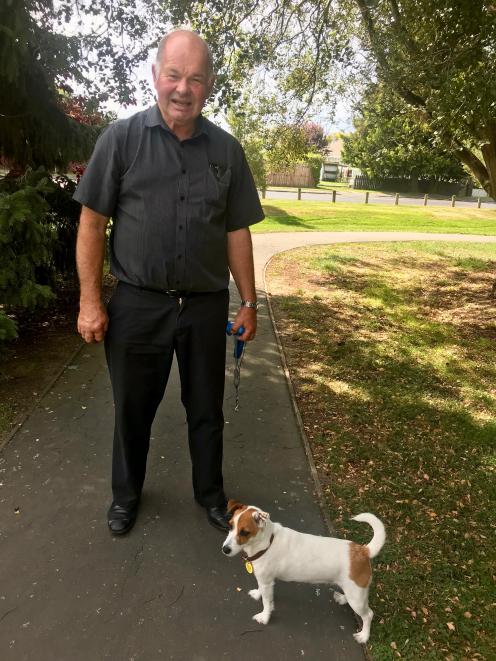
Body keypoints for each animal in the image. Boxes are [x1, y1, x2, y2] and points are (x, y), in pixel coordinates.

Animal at [222, 498, 388, 640]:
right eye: (230, 526)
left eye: (244, 532)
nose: (225, 549)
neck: (267, 542)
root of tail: (363, 550)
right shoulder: (263, 580)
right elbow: (261, 590)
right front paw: (258, 594)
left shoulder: (267, 583)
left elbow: (267, 603)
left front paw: (264, 617)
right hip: (353, 590)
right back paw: (342, 598)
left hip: (357, 597)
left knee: (368, 615)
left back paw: (364, 636)